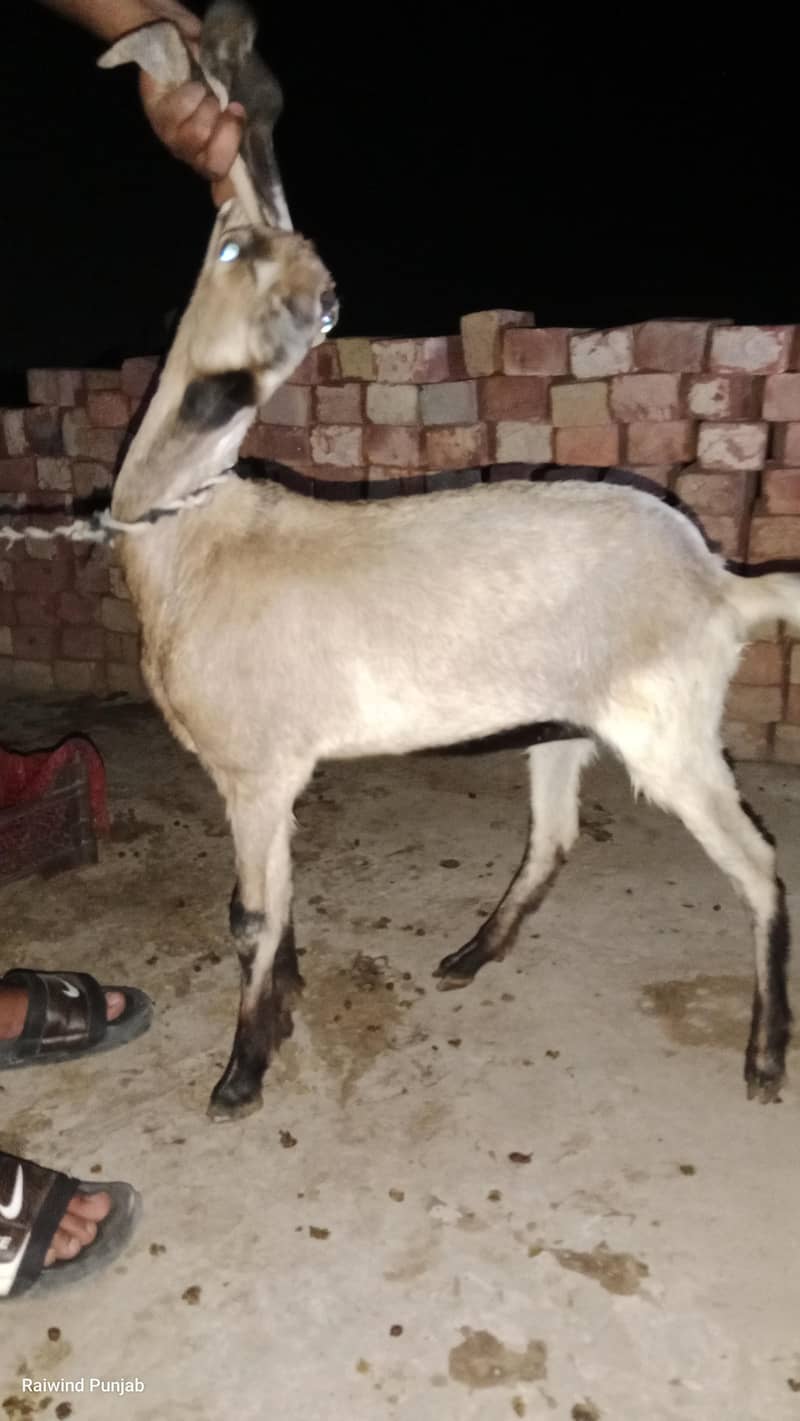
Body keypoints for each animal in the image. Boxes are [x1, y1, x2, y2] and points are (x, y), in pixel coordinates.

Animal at [103, 2, 796, 1122]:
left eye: (233, 244)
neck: (193, 540)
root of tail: (721, 585)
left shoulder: (257, 766)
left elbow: (250, 918)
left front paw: (242, 1071)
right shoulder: (266, 779)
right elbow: (269, 905)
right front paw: (282, 1010)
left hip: (668, 729)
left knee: (759, 862)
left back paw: (765, 1054)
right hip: (566, 724)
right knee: (554, 834)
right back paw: (472, 953)